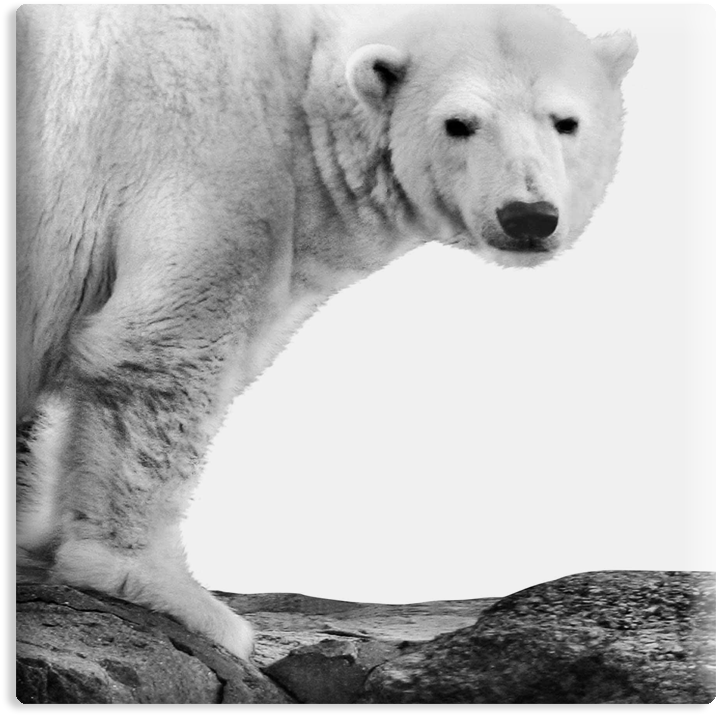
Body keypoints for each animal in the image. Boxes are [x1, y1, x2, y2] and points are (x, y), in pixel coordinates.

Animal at [16, 4, 637, 661]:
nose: (528, 216)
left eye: (565, 121)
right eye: (459, 123)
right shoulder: (210, 164)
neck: (297, 84)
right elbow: (162, 351)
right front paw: (173, 593)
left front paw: (44, 538)